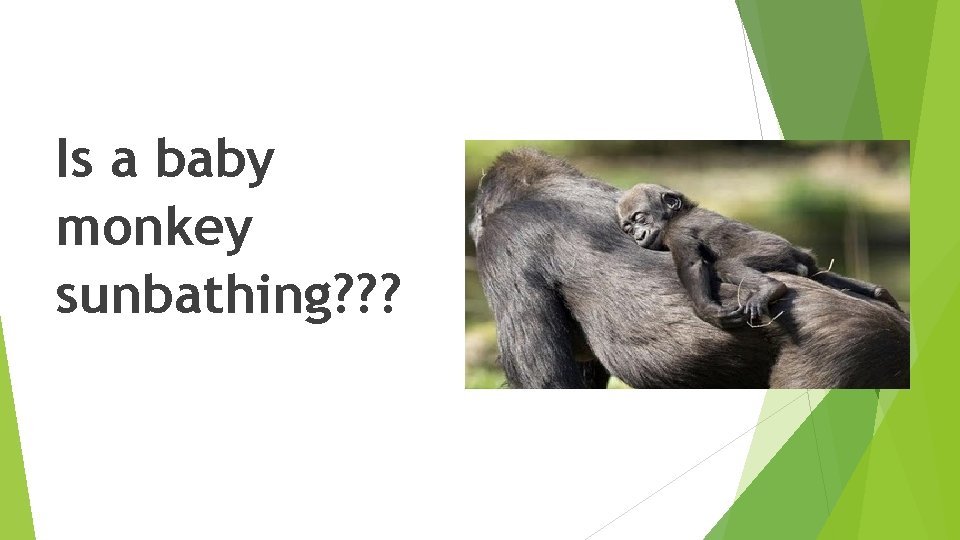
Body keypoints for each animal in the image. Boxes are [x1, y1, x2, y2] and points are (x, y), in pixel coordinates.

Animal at [616, 183, 900, 327]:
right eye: (627, 228)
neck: (676, 215)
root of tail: (799, 254)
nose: (637, 235)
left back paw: (771, 288)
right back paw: (880, 293)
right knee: (823, 275)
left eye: (639, 218)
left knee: (727, 265)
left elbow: (692, 264)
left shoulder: (679, 233)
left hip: (774, 250)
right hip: (807, 262)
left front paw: (708, 311)